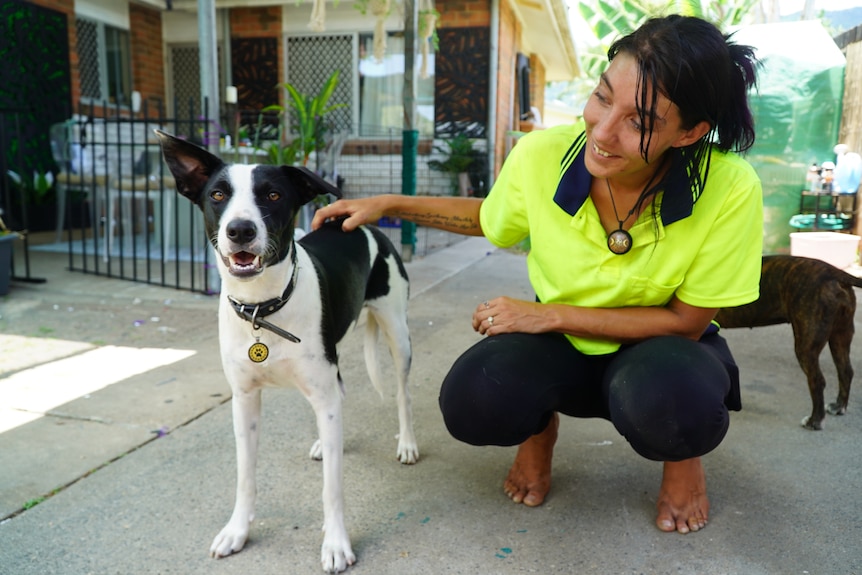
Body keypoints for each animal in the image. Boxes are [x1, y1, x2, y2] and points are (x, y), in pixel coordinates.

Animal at [159, 132, 422, 572]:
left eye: (273, 194)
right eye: (217, 194)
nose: (240, 229)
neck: (262, 309)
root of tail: (361, 225)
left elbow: (332, 487)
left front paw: (336, 543)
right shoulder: (244, 400)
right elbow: (245, 476)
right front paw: (237, 531)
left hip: (397, 333)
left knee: (403, 393)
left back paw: (406, 443)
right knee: (340, 393)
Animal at [716, 254, 862, 430]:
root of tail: (834, 273)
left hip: (806, 346)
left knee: (818, 381)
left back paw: (814, 420)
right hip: (840, 336)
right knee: (845, 371)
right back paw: (838, 407)